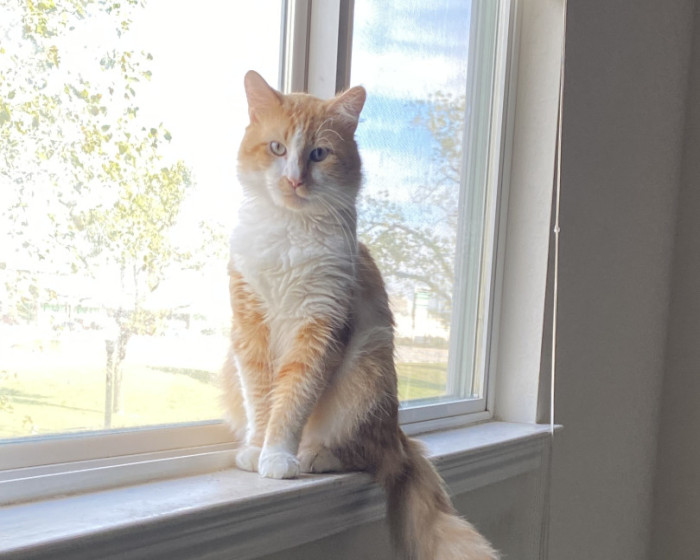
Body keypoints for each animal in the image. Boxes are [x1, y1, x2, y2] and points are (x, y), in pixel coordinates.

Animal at [222, 70, 499, 560]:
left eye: (318, 153)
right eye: (277, 148)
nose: (294, 181)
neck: (288, 233)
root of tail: (399, 433)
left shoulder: (320, 326)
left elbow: (290, 400)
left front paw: (277, 455)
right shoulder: (250, 324)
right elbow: (260, 397)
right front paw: (256, 448)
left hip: (366, 369)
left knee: (370, 455)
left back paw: (312, 456)